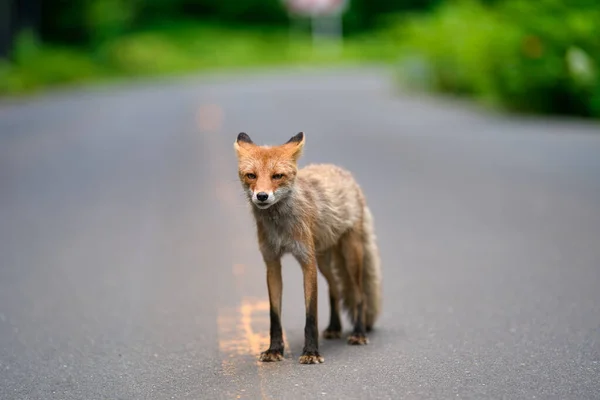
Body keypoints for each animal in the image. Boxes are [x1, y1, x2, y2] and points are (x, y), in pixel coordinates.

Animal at [232, 132, 382, 366]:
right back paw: (334, 327)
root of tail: (343, 172)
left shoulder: (306, 260)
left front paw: (311, 352)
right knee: (335, 288)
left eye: (277, 176)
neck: (281, 227)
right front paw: (274, 350)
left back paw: (358, 333)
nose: (262, 196)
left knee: (359, 295)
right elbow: (274, 314)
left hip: (350, 255)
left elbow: (310, 314)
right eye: (251, 176)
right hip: (323, 260)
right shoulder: (272, 262)